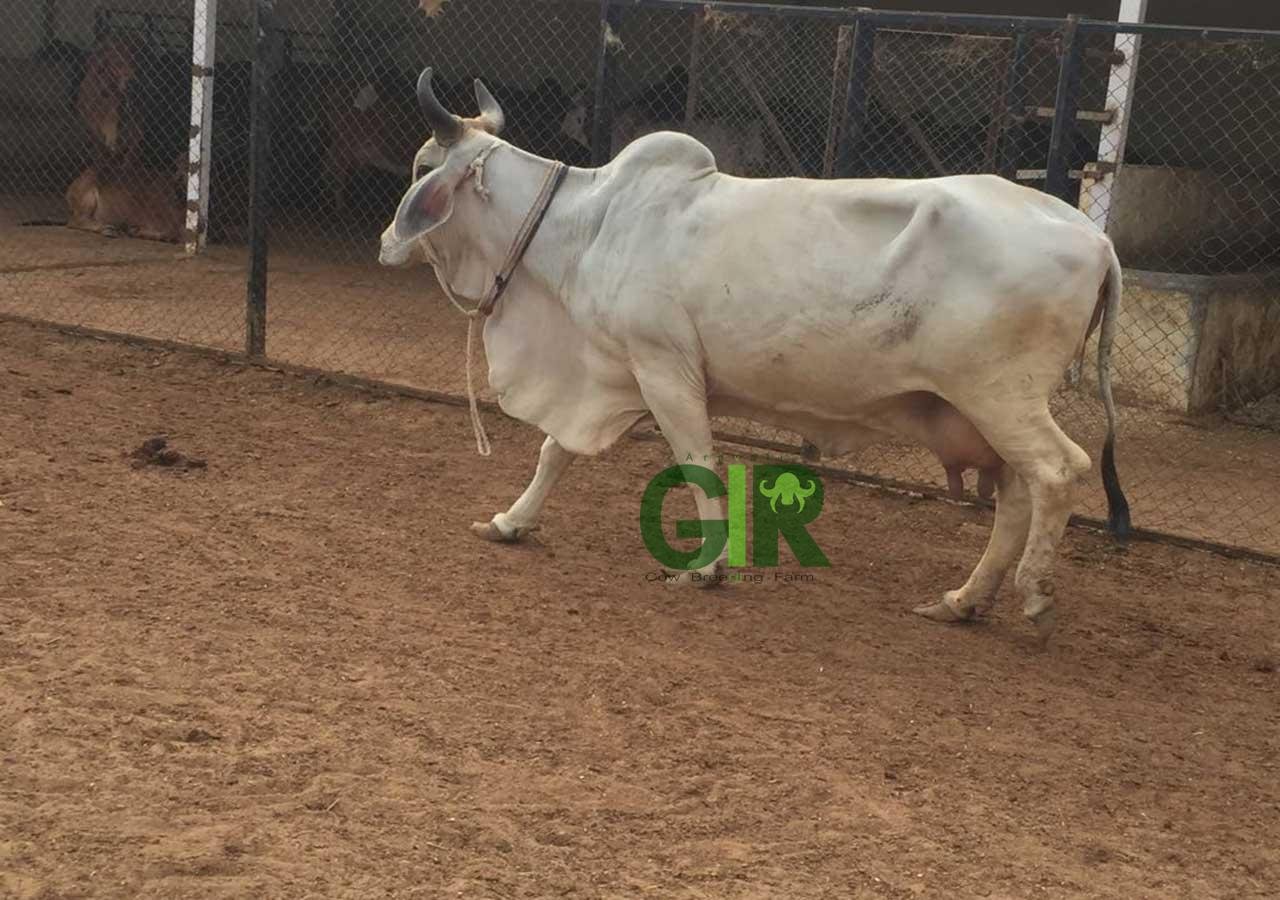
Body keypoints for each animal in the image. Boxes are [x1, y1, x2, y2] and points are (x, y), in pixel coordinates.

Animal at [378, 69, 1131, 642]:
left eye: (421, 167)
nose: (387, 241)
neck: (589, 225)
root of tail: (1095, 239)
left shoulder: (665, 368)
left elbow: (699, 465)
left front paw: (706, 568)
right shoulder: (620, 370)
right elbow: (555, 451)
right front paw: (510, 521)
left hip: (1001, 394)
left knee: (1057, 472)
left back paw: (1033, 594)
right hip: (985, 410)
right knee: (1014, 496)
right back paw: (963, 600)